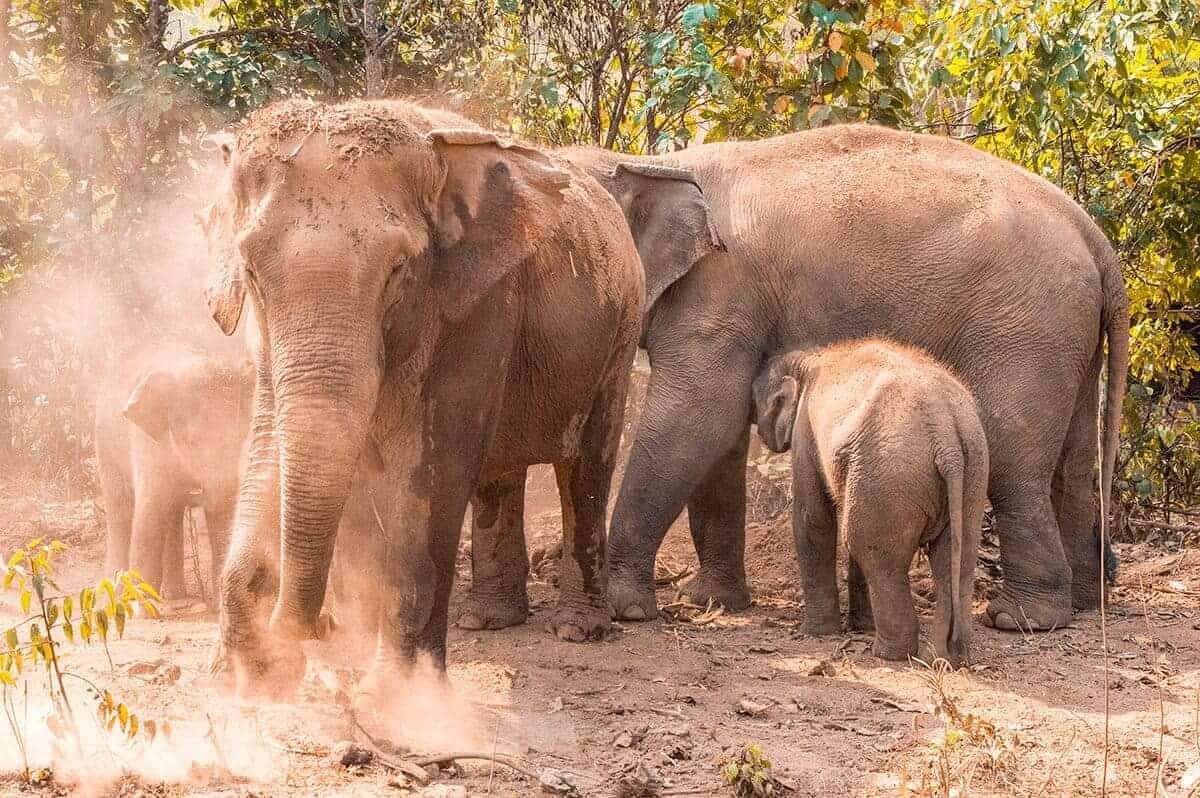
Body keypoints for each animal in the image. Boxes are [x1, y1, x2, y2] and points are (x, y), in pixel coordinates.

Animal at [95, 348, 252, 602]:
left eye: (239, 438)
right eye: (190, 441)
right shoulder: (147, 444)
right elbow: (149, 517)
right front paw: (141, 605)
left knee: (173, 514)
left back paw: (175, 596)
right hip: (105, 445)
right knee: (121, 512)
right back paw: (115, 593)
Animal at [199, 98, 644, 699]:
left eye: (397, 270)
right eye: (250, 271)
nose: (315, 628)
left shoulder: (481, 303)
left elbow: (436, 466)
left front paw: (398, 699)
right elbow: (268, 440)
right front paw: (246, 678)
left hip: (620, 331)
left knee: (586, 466)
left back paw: (578, 629)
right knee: (496, 473)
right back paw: (489, 620)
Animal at [544, 123, 1128, 634]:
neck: (653, 162)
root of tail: (1095, 236)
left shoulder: (716, 298)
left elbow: (696, 420)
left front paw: (626, 610)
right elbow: (719, 440)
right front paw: (711, 601)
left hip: (1026, 329)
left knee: (1014, 462)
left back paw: (1020, 619)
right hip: (1067, 335)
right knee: (1074, 463)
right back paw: (1084, 601)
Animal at [752, 340, 988, 667]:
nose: (759, 434)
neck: (811, 358)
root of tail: (946, 439)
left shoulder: (805, 431)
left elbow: (812, 517)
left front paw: (816, 633)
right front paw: (861, 626)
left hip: (890, 473)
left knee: (874, 553)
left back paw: (888, 654)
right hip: (970, 475)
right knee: (956, 559)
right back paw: (947, 657)